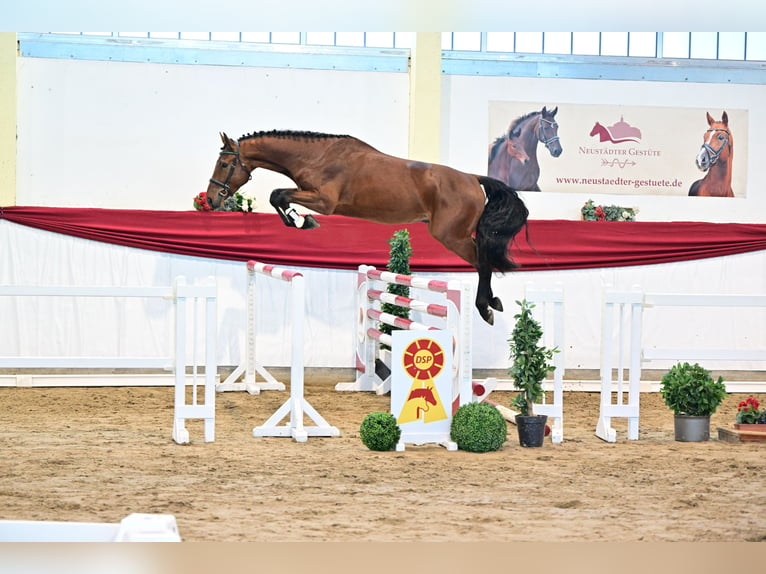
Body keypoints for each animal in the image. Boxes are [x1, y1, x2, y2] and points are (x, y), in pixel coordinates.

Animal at [207, 132, 532, 326]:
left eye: (223, 163)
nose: (211, 199)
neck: (317, 157)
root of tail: (473, 179)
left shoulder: (325, 201)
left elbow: (278, 195)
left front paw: (301, 220)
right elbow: (279, 196)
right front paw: (298, 220)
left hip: (452, 236)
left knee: (483, 263)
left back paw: (485, 307)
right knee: (483, 262)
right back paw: (492, 302)